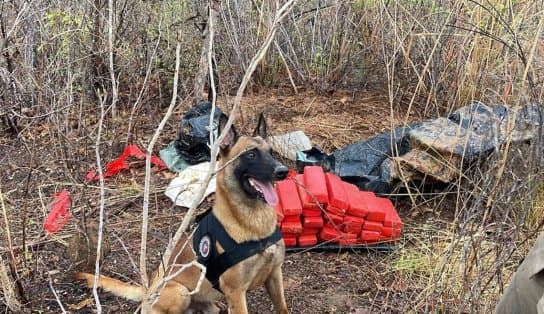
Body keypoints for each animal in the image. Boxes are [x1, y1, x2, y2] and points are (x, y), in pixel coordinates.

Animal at [76, 113, 292, 314]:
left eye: (271, 152)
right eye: (251, 155)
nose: (284, 171)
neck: (254, 222)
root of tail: (148, 290)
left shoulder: (275, 275)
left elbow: (283, 307)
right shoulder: (236, 292)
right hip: (180, 292)